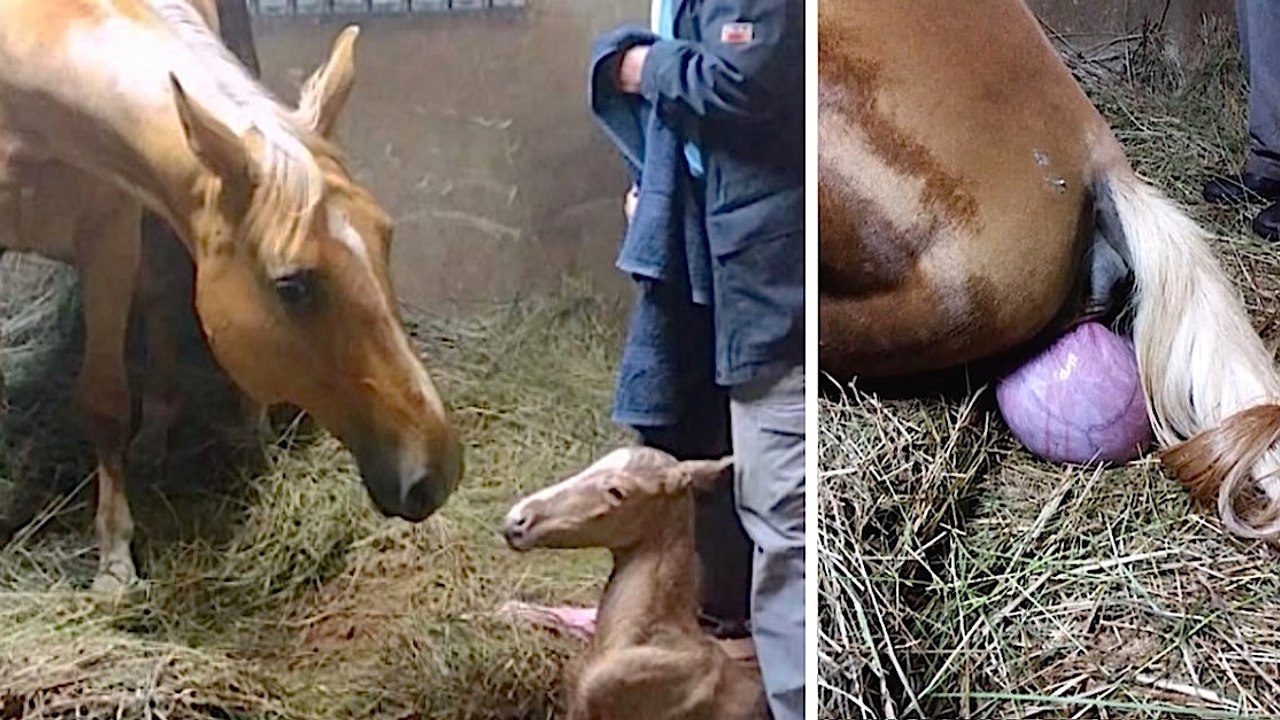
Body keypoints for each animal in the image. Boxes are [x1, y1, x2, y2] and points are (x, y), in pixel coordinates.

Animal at [0, 0, 463, 591]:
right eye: (293, 286)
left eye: (386, 236)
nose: (436, 471)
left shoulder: (112, 235)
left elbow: (106, 400)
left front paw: (114, 562)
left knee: (159, 294)